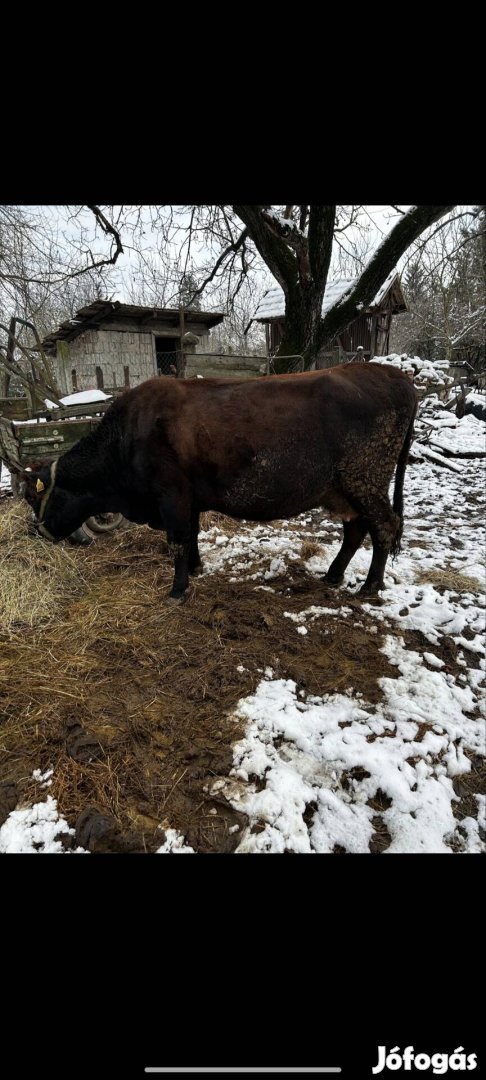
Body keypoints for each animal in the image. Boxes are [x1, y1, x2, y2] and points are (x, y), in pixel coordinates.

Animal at [22, 360, 416, 600]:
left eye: (33, 496)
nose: (34, 533)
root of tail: (393, 375)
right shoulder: (190, 499)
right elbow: (192, 535)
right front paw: (196, 570)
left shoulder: (172, 495)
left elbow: (178, 539)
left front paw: (177, 590)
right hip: (345, 490)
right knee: (356, 529)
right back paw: (333, 575)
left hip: (365, 482)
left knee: (384, 526)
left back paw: (370, 586)